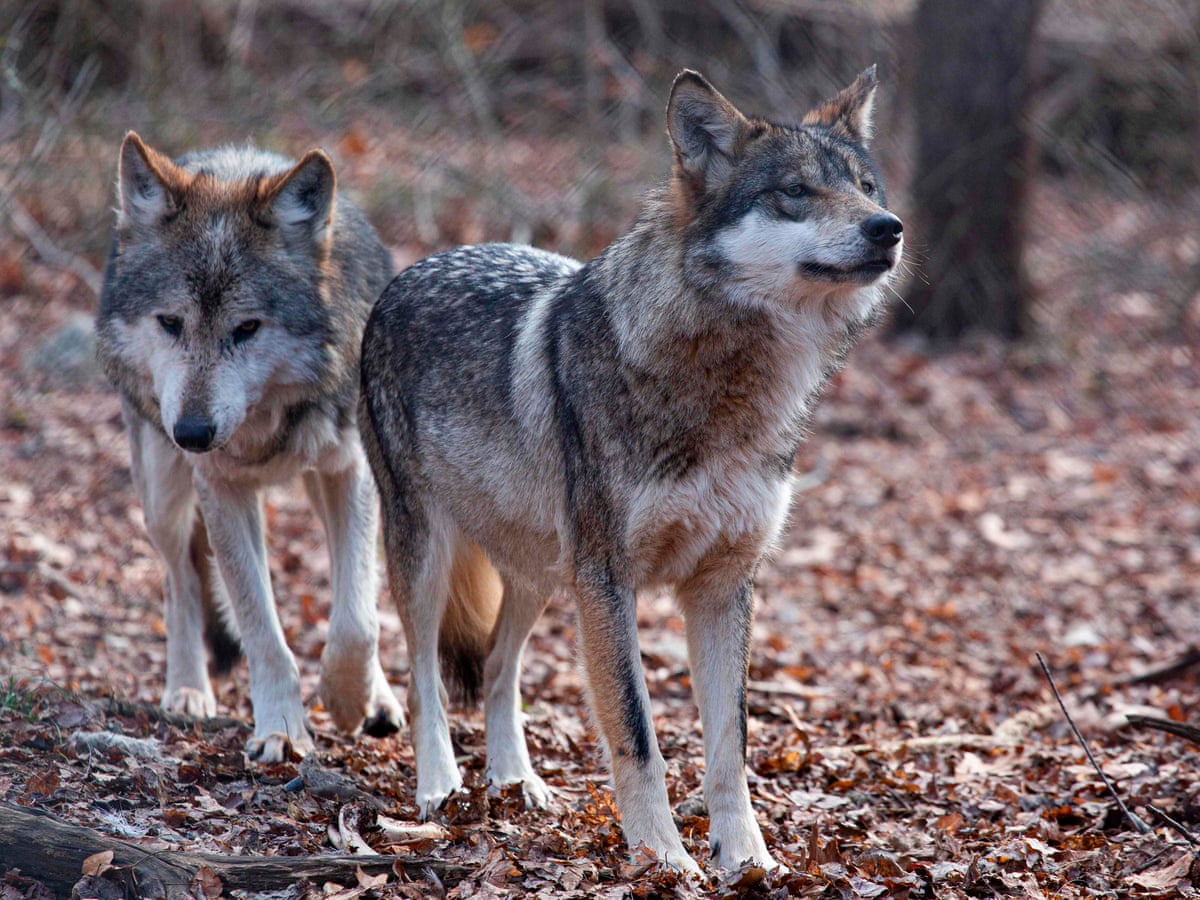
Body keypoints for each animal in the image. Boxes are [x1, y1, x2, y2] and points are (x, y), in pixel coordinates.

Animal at [96, 133, 404, 762]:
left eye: (246, 328)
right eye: (170, 323)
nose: (192, 433)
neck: (264, 427)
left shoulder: (352, 472)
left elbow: (356, 620)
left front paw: (346, 700)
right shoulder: (221, 488)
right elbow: (261, 629)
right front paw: (283, 727)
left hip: (323, 484)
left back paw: (379, 698)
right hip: (163, 495)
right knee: (181, 584)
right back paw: (188, 689)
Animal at [359, 67, 903, 872]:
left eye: (867, 188)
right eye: (795, 192)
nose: (888, 227)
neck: (727, 387)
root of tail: (411, 269)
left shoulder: (723, 585)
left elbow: (731, 748)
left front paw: (749, 861)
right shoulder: (610, 580)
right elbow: (637, 734)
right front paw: (664, 860)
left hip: (544, 575)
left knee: (494, 667)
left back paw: (515, 783)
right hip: (431, 558)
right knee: (425, 677)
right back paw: (439, 789)